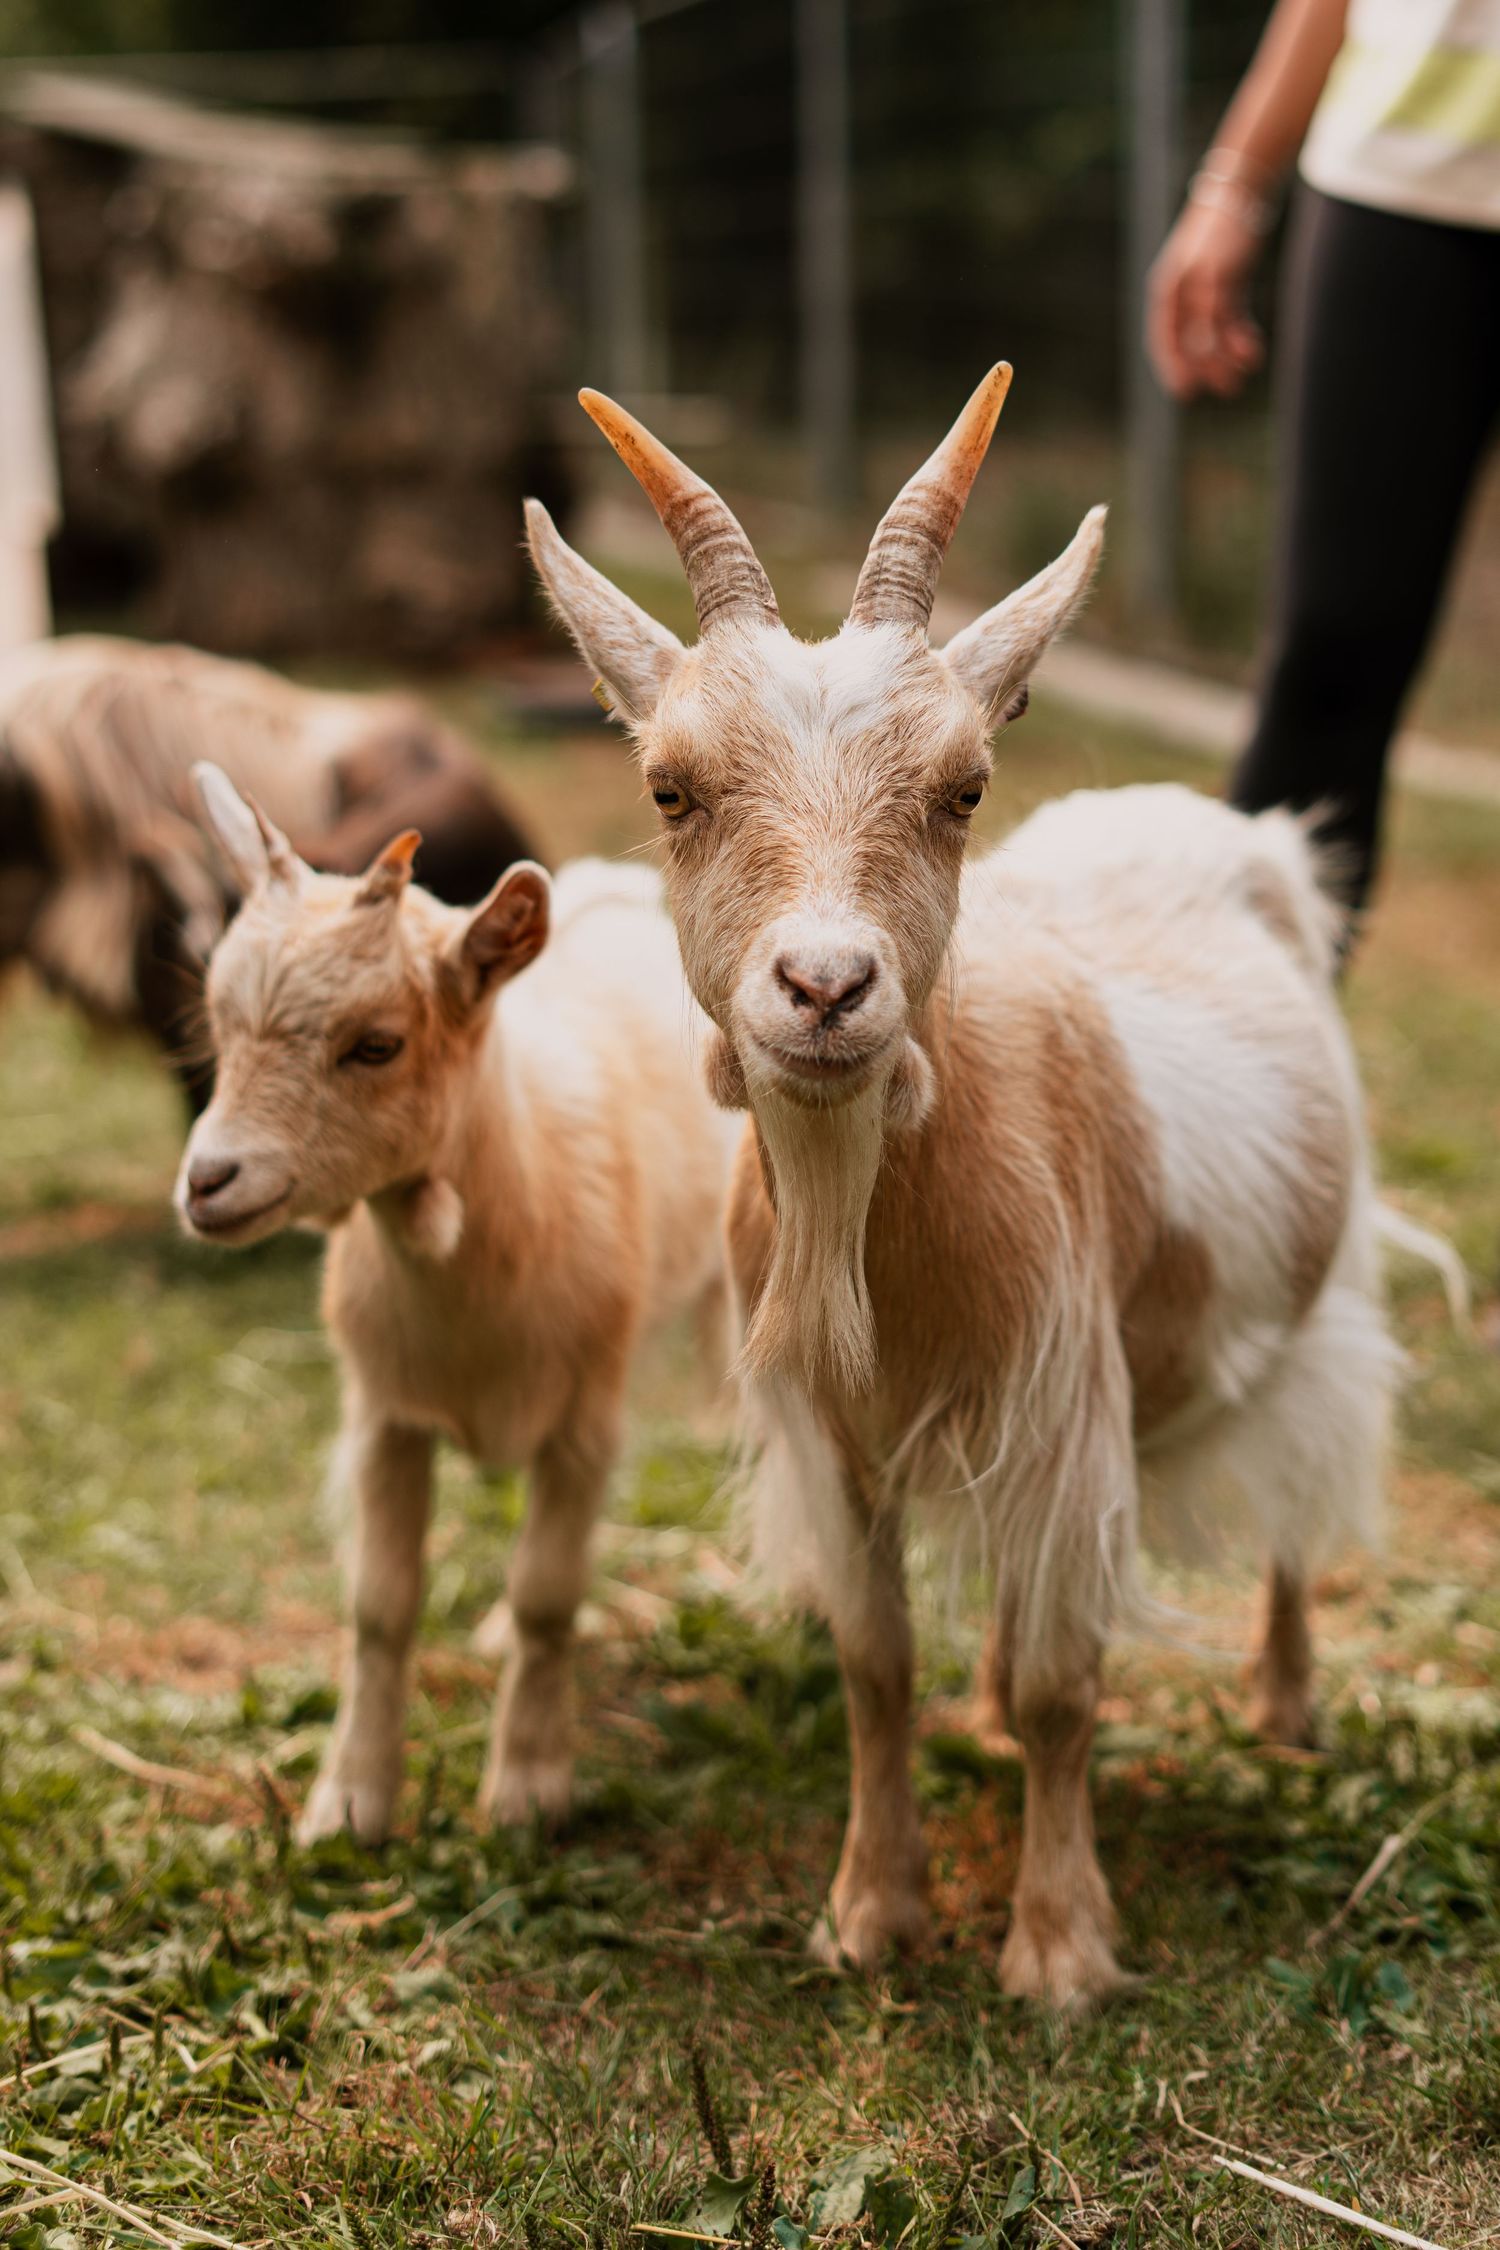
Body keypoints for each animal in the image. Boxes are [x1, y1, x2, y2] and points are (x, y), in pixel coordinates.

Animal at [175, 769, 737, 1840]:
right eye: (217, 1024)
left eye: (377, 1045)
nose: (209, 1182)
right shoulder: (384, 1417)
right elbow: (381, 1604)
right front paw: (350, 1802)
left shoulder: (584, 1422)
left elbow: (550, 1593)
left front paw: (526, 1790)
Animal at [523, 368, 1401, 2007]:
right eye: (669, 787)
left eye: (964, 786)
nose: (823, 986)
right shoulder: (834, 1437)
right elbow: (876, 1668)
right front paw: (870, 1911)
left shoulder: (1063, 1400)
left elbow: (1069, 1684)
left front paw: (1058, 1948)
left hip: (1329, 1290)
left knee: (1296, 1501)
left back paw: (1287, 1709)